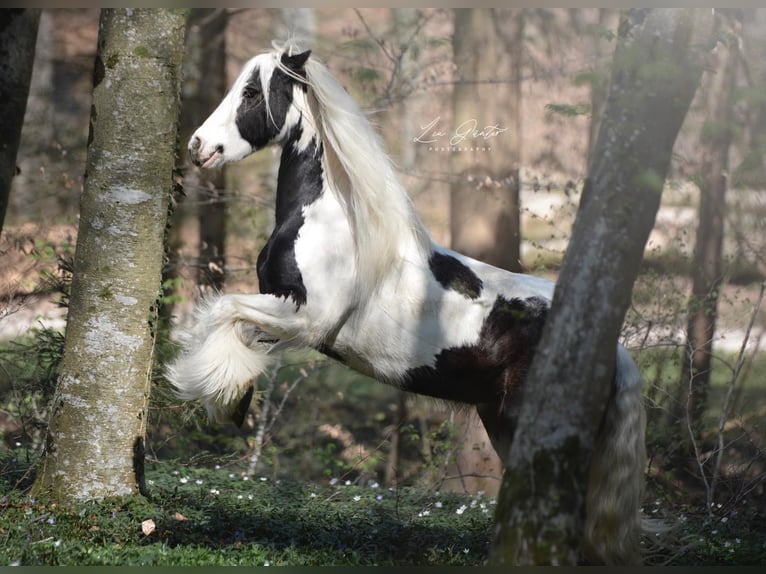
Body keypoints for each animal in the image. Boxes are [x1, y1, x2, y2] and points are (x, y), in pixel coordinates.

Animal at [168, 46, 648, 568]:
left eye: (252, 92)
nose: (198, 146)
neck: (333, 224)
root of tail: (612, 346)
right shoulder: (281, 313)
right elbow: (232, 322)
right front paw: (234, 397)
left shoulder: (306, 318)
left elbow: (220, 310)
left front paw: (208, 388)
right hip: (502, 422)